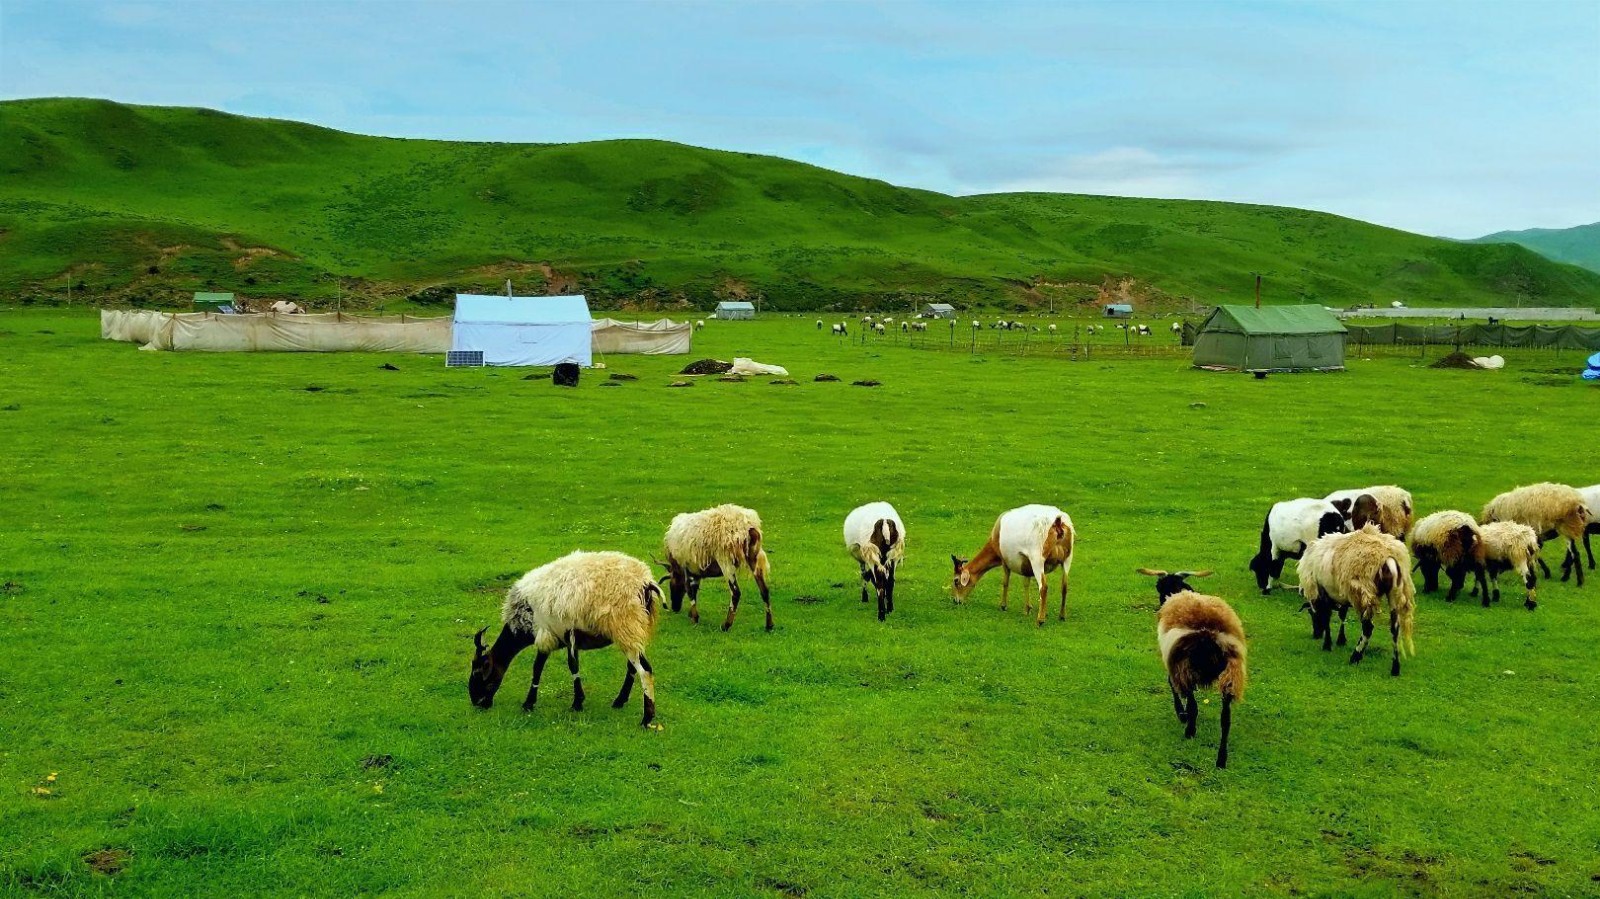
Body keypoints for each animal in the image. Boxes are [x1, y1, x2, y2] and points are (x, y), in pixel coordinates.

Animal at [467, 547, 659, 729]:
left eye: (478, 671)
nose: (476, 702)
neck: (523, 623)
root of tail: (645, 581)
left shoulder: (547, 633)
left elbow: (539, 668)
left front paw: (530, 703)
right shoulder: (566, 636)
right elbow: (571, 665)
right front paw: (577, 701)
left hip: (626, 624)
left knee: (645, 670)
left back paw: (646, 719)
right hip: (634, 629)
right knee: (632, 667)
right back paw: (620, 701)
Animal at [947, 499, 1075, 627]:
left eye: (956, 581)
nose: (956, 601)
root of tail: (1058, 523)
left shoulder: (1005, 560)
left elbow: (1005, 582)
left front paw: (1003, 606)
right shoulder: (1026, 564)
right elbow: (1026, 583)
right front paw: (1027, 609)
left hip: (1037, 558)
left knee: (1043, 587)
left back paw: (1040, 620)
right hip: (1067, 558)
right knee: (1064, 586)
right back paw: (1062, 616)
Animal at [1299, 521, 1414, 675]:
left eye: (1312, 615)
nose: (1316, 634)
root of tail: (1388, 556)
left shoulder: (1323, 593)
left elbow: (1327, 618)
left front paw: (1327, 645)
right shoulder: (1342, 595)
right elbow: (1342, 615)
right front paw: (1340, 640)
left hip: (1362, 593)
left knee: (1368, 628)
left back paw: (1355, 657)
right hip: (1394, 593)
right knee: (1395, 629)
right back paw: (1395, 668)